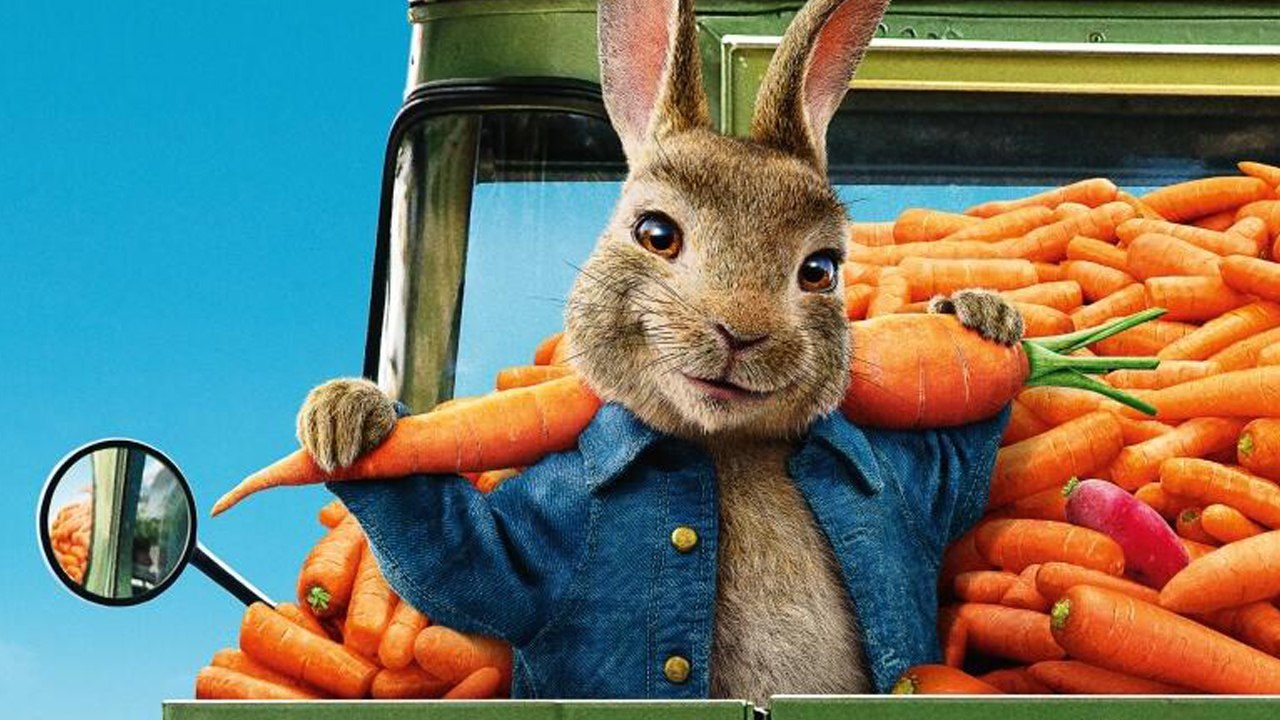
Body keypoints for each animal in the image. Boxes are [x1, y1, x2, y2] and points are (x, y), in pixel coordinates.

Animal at [300, 0, 1023, 704]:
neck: (729, 447)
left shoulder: (909, 487)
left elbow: (958, 470)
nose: (741, 333)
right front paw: (347, 414)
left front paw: (979, 315)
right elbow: (465, 559)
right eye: (655, 233)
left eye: (820, 270)